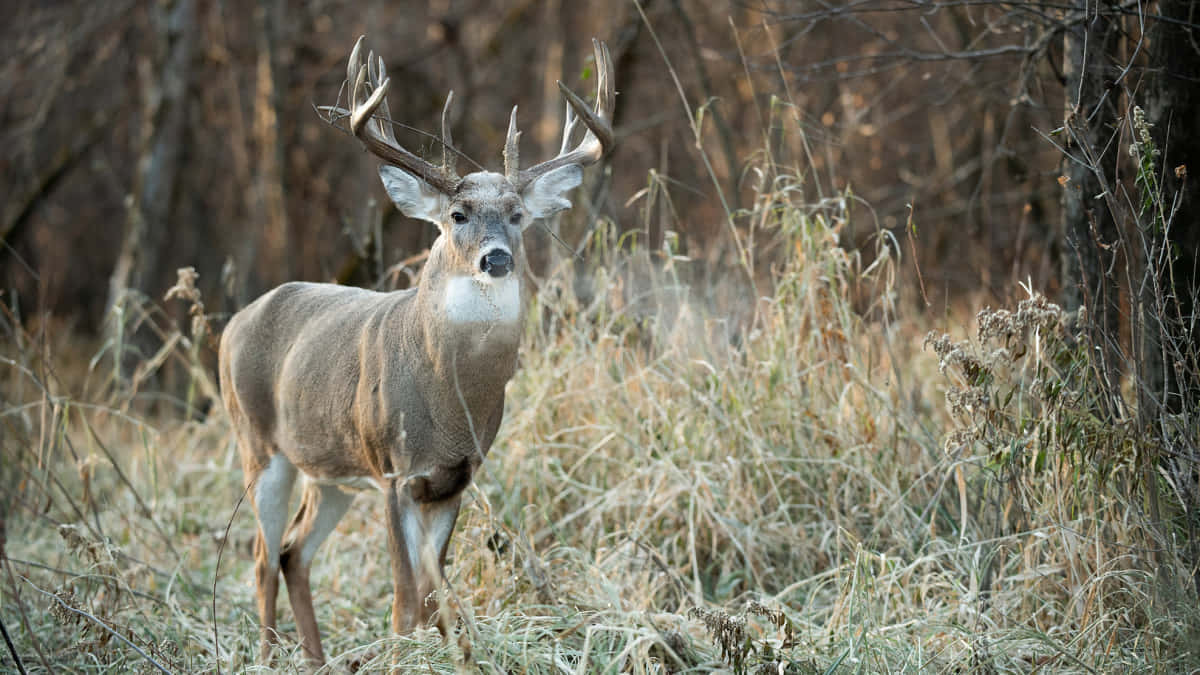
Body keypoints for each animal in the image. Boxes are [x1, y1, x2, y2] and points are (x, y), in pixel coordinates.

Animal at [218, 36, 614, 665]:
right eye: (457, 215)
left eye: (518, 215)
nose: (496, 258)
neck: (450, 400)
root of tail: (232, 324)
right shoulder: (393, 469)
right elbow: (405, 601)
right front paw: (403, 657)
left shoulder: (454, 478)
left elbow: (433, 597)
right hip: (258, 444)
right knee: (260, 557)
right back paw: (267, 656)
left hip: (329, 472)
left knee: (292, 552)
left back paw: (318, 660)